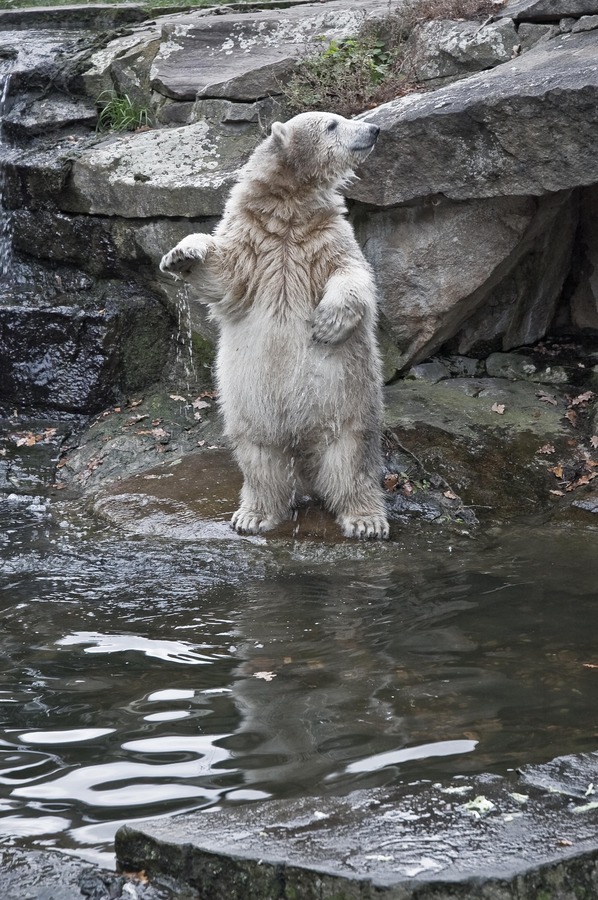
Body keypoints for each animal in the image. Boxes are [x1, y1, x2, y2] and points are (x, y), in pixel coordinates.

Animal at [162, 109, 392, 536]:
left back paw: (365, 518)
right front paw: (182, 254)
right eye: (333, 124)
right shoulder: (253, 236)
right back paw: (254, 514)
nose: (373, 129)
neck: (289, 207)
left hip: (348, 403)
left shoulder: (326, 236)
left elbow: (353, 273)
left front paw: (327, 323)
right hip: (250, 409)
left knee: (351, 459)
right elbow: (225, 275)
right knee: (260, 457)